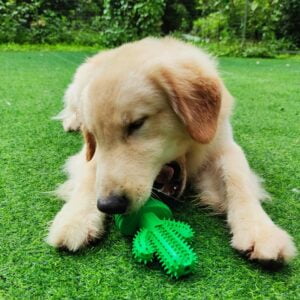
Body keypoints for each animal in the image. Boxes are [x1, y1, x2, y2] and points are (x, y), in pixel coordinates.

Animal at [47, 37, 296, 262]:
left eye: (136, 124)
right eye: (95, 136)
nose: (110, 205)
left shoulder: (224, 145)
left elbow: (238, 178)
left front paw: (259, 229)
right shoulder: (90, 154)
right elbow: (89, 175)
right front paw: (75, 219)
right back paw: (72, 120)